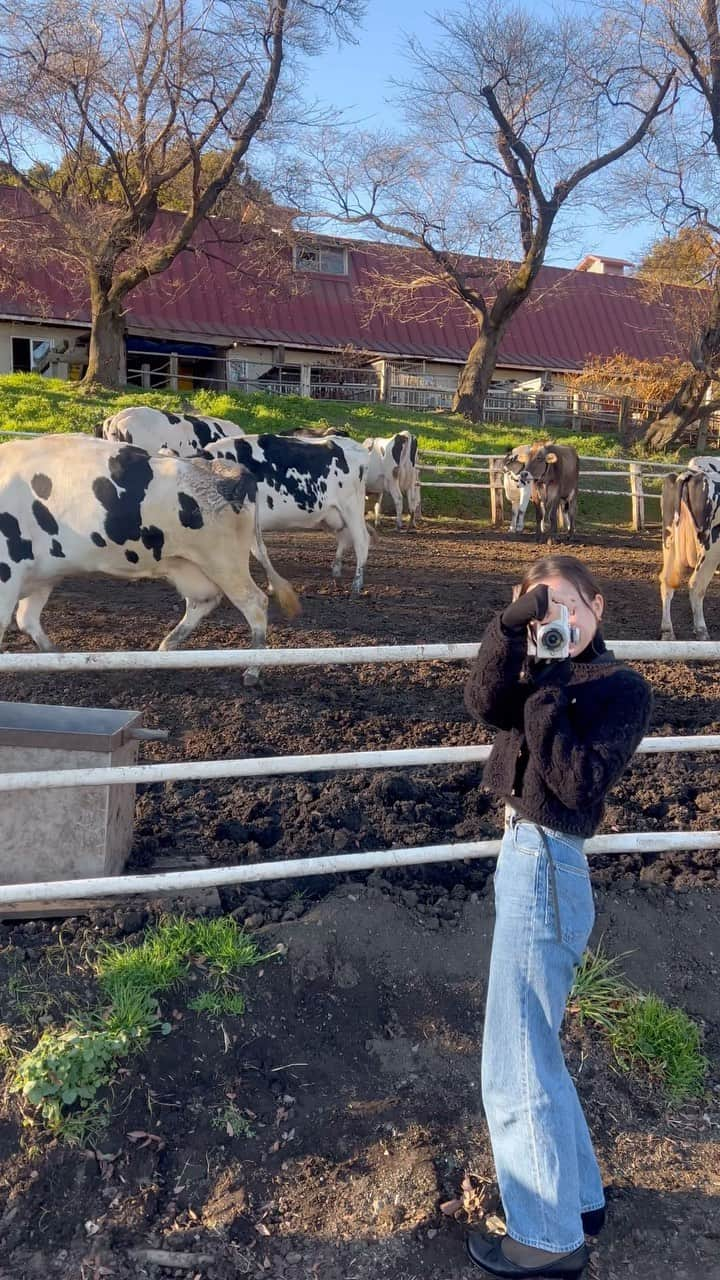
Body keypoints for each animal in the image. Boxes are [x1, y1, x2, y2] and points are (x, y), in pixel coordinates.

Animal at [0, 437, 297, 686]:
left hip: (225, 562)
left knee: (255, 603)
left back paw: (253, 669)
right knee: (203, 600)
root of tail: (225, 470)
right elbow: (27, 620)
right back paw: (166, 648)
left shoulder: (8, 573)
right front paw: (55, 656)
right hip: (186, 564)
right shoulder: (40, 575)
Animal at [199, 430, 368, 588]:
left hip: (351, 507)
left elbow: (257, 553)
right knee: (344, 536)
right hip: (331, 515)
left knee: (361, 540)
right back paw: (337, 569)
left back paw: (357, 584)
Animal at [661, 458, 720, 640]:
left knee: (666, 581)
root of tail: (690, 473)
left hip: (669, 540)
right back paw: (701, 630)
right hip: (711, 548)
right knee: (696, 585)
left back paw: (667, 631)